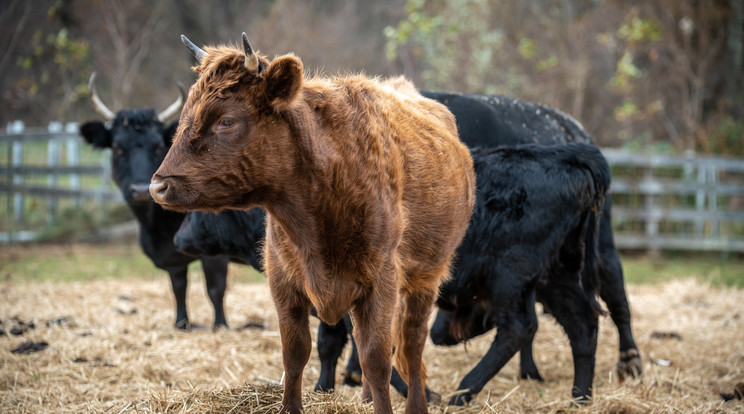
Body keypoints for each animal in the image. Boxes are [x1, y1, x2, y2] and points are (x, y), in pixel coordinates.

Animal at [78, 72, 230, 330]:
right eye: (118, 147)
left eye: (159, 146)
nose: (140, 189)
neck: (159, 227)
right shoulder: (172, 260)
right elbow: (178, 288)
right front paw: (181, 324)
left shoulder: (216, 252)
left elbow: (215, 289)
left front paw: (221, 326)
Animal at [150, 33, 476, 414]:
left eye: (226, 121)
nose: (157, 186)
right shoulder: (284, 280)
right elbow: (295, 353)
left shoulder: (382, 280)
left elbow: (377, 358)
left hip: (427, 278)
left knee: (411, 345)